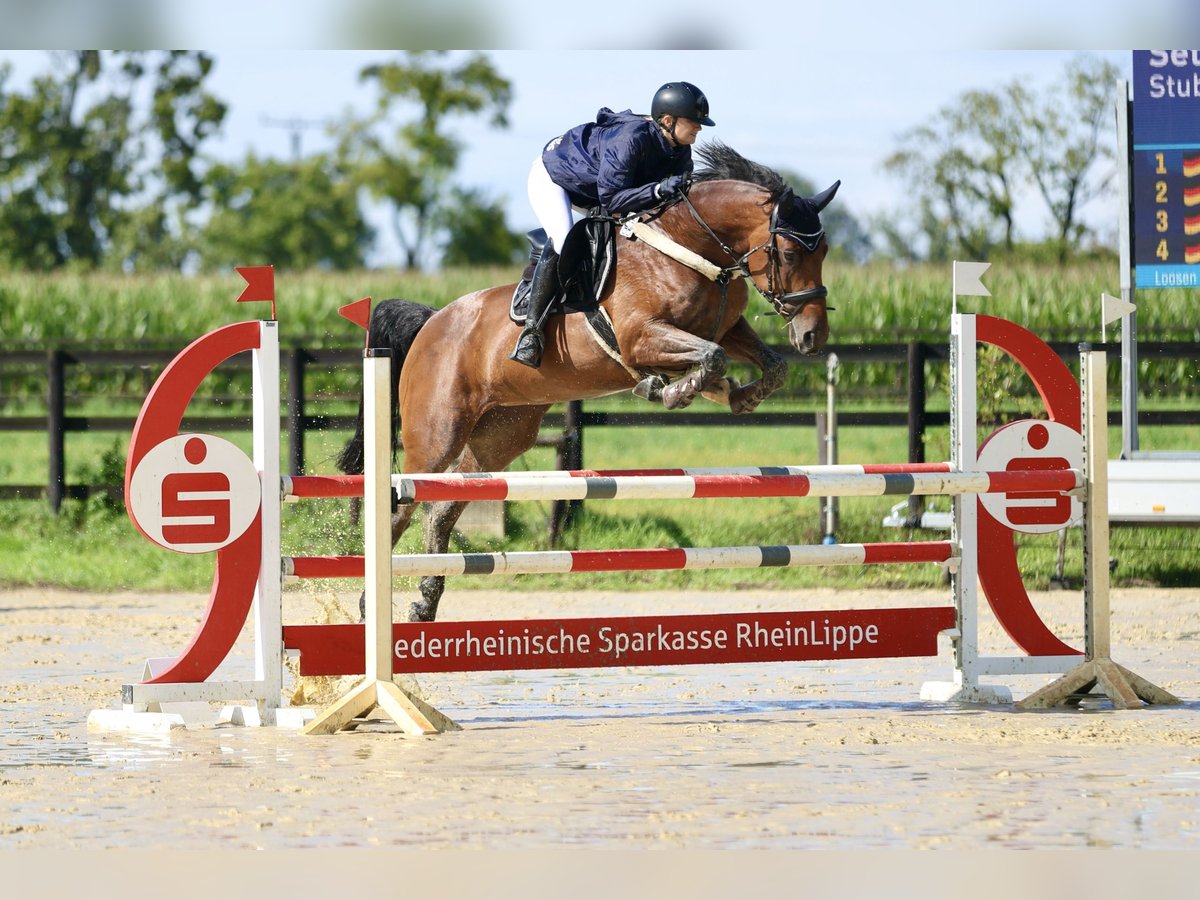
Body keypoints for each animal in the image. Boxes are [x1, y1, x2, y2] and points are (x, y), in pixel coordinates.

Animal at [343, 144, 840, 624]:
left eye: (825, 252)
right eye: (790, 254)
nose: (813, 337)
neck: (691, 249)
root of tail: (431, 321)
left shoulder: (726, 327)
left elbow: (768, 365)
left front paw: (736, 394)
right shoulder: (642, 338)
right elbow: (710, 357)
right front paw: (672, 389)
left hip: (501, 434)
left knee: (443, 508)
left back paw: (425, 603)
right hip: (436, 434)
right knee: (402, 505)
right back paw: (370, 603)